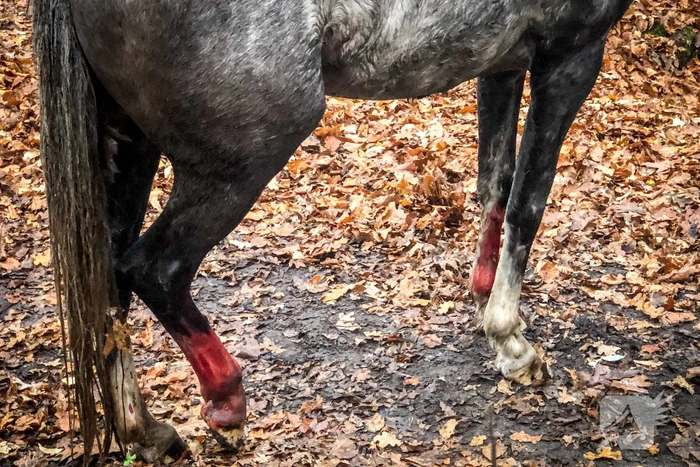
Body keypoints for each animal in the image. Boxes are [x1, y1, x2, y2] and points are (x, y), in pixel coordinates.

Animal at [32, 0, 634, 461]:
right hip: (244, 158)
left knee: (107, 281)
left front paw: (485, 292)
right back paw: (227, 402)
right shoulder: (570, 55)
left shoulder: (503, 61)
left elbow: (497, 180)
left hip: (129, 139)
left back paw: (146, 432)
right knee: (153, 269)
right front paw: (512, 343)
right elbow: (528, 203)